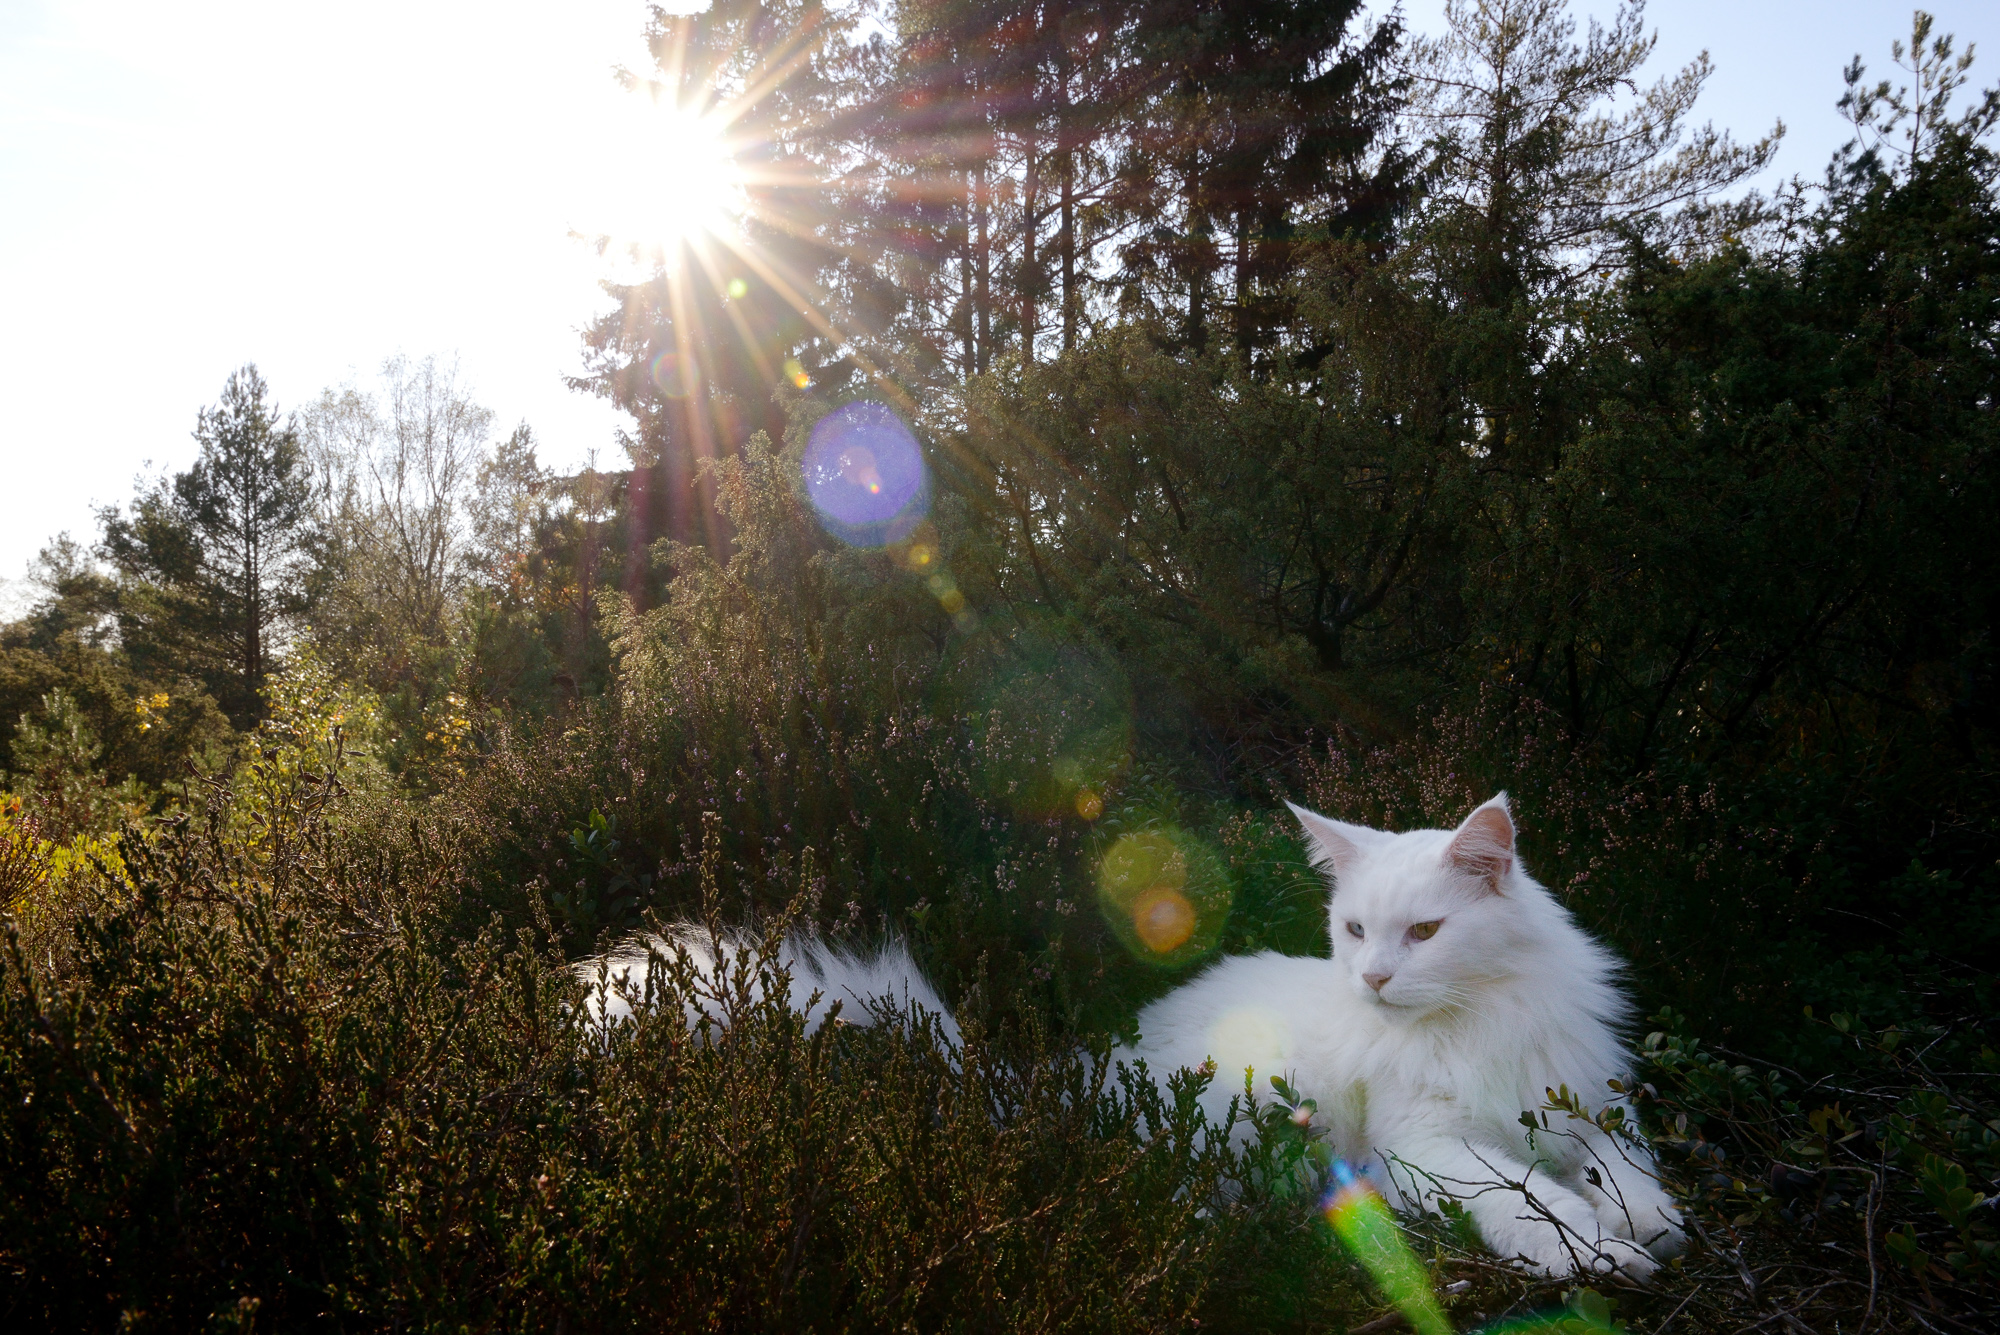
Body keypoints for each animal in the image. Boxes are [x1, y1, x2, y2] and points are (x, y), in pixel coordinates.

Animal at [1128, 799, 1688, 1279]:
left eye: (1425, 931)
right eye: (1356, 930)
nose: (1373, 978)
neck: (1481, 1023)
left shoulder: (1591, 1104)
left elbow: (1629, 1171)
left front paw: (1652, 1224)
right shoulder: (1425, 1149)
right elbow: (1542, 1207)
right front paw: (1604, 1253)